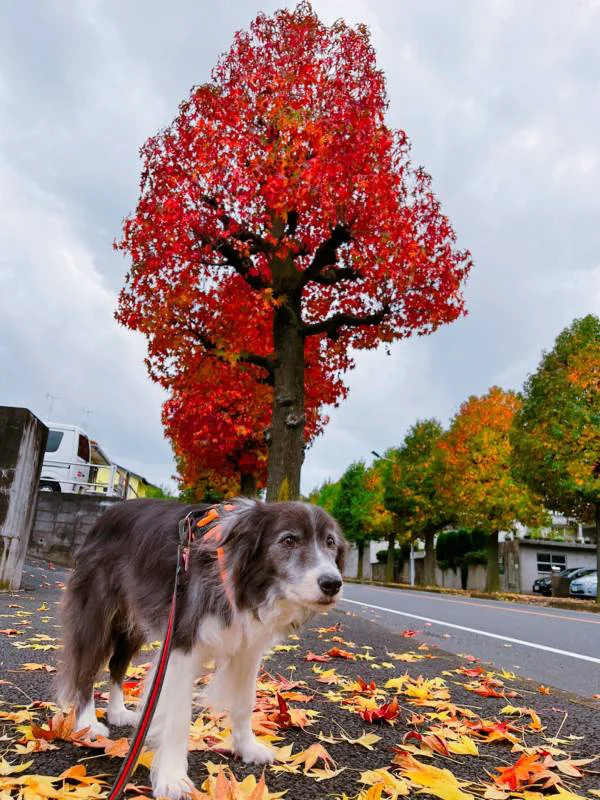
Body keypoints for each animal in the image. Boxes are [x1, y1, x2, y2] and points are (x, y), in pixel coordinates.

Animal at [57, 496, 346, 796]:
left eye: (330, 542)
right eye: (289, 540)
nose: (332, 583)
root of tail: (106, 514)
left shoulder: (248, 650)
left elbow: (245, 702)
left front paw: (247, 748)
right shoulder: (182, 643)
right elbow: (178, 717)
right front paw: (172, 778)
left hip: (134, 621)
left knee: (117, 663)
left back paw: (118, 712)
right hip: (97, 613)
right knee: (87, 669)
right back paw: (88, 723)